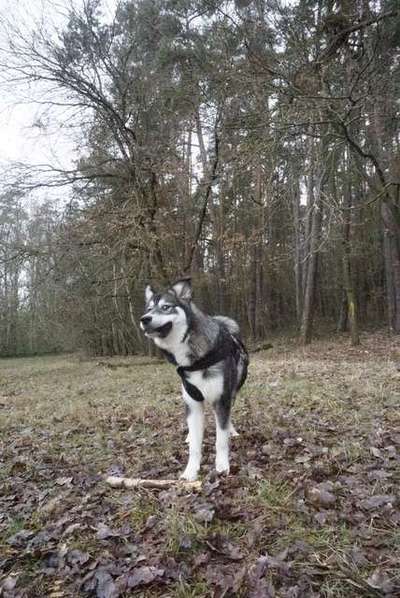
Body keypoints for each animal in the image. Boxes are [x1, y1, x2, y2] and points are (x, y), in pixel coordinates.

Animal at [140, 278, 247, 482]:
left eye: (166, 307)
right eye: (148, 309)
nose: (144, 319)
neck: (195, 359)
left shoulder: (222, 399)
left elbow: (221, 440)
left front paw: (222, 465)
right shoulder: (193, 402)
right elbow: (195, 446)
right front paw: (191, 471)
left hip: (232, 392)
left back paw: (231, 430)